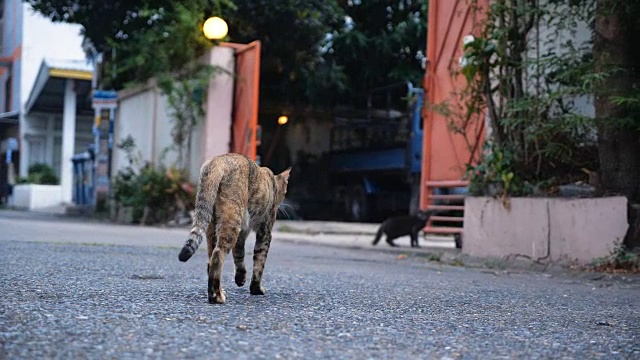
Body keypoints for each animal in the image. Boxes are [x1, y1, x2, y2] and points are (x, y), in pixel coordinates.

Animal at [179, 152, 292, 304]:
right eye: (285, 191)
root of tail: (218, 161)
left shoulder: (242, 233)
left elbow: (239, 255)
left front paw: (240, 279)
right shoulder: (265, 231)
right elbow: (259, 261)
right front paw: (256, 289)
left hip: (212, 224)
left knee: (210, 260)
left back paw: (219, 291)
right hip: (232, 218)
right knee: (217, 255)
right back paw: (216, 297)